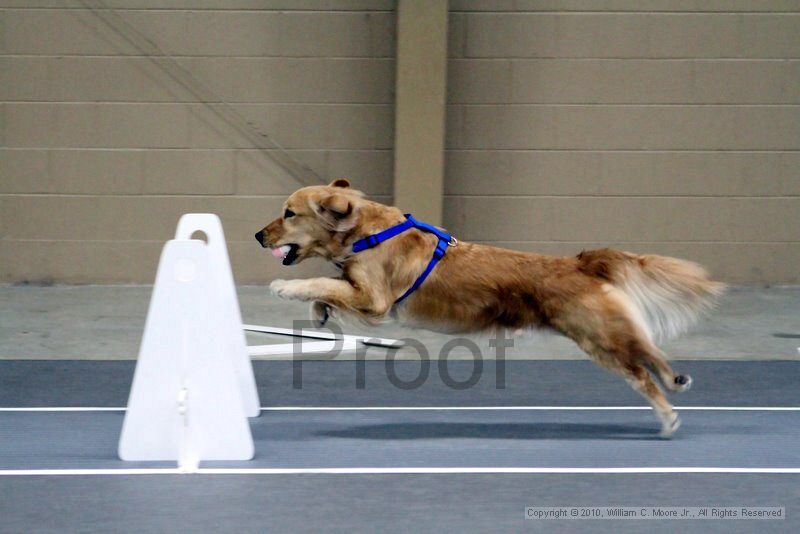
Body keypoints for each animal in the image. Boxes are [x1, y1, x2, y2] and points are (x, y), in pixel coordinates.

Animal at [256, 181, 724, 440]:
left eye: (289, 213)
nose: (258, 235)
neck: (366, 231)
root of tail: (579, 262)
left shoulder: (375, 301)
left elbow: (322, 281)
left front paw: (286, 288)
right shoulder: (361, 293)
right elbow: (330, 286)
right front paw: (318, 313)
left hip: (599, 338)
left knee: (643, 367)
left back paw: (669, 414)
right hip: (605, 335)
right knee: (649, 352)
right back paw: (677, 383)